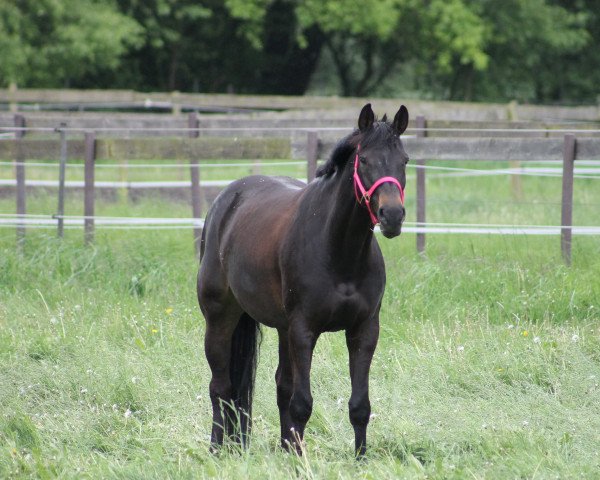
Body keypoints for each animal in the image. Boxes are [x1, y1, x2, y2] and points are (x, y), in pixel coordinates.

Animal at [199, 103, 410, 456]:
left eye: (404, 159)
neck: (338, 252)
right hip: (221, 318)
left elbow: (359, 406)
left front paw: (359, 459)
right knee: (222, 387)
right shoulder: (303, 331)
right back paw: (217, 448)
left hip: (281, 328)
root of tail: (226, 200)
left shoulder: (364, 330)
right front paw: (299, 460)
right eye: (364, 160)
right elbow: (302, 403)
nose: (392, 216)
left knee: (279, 386)